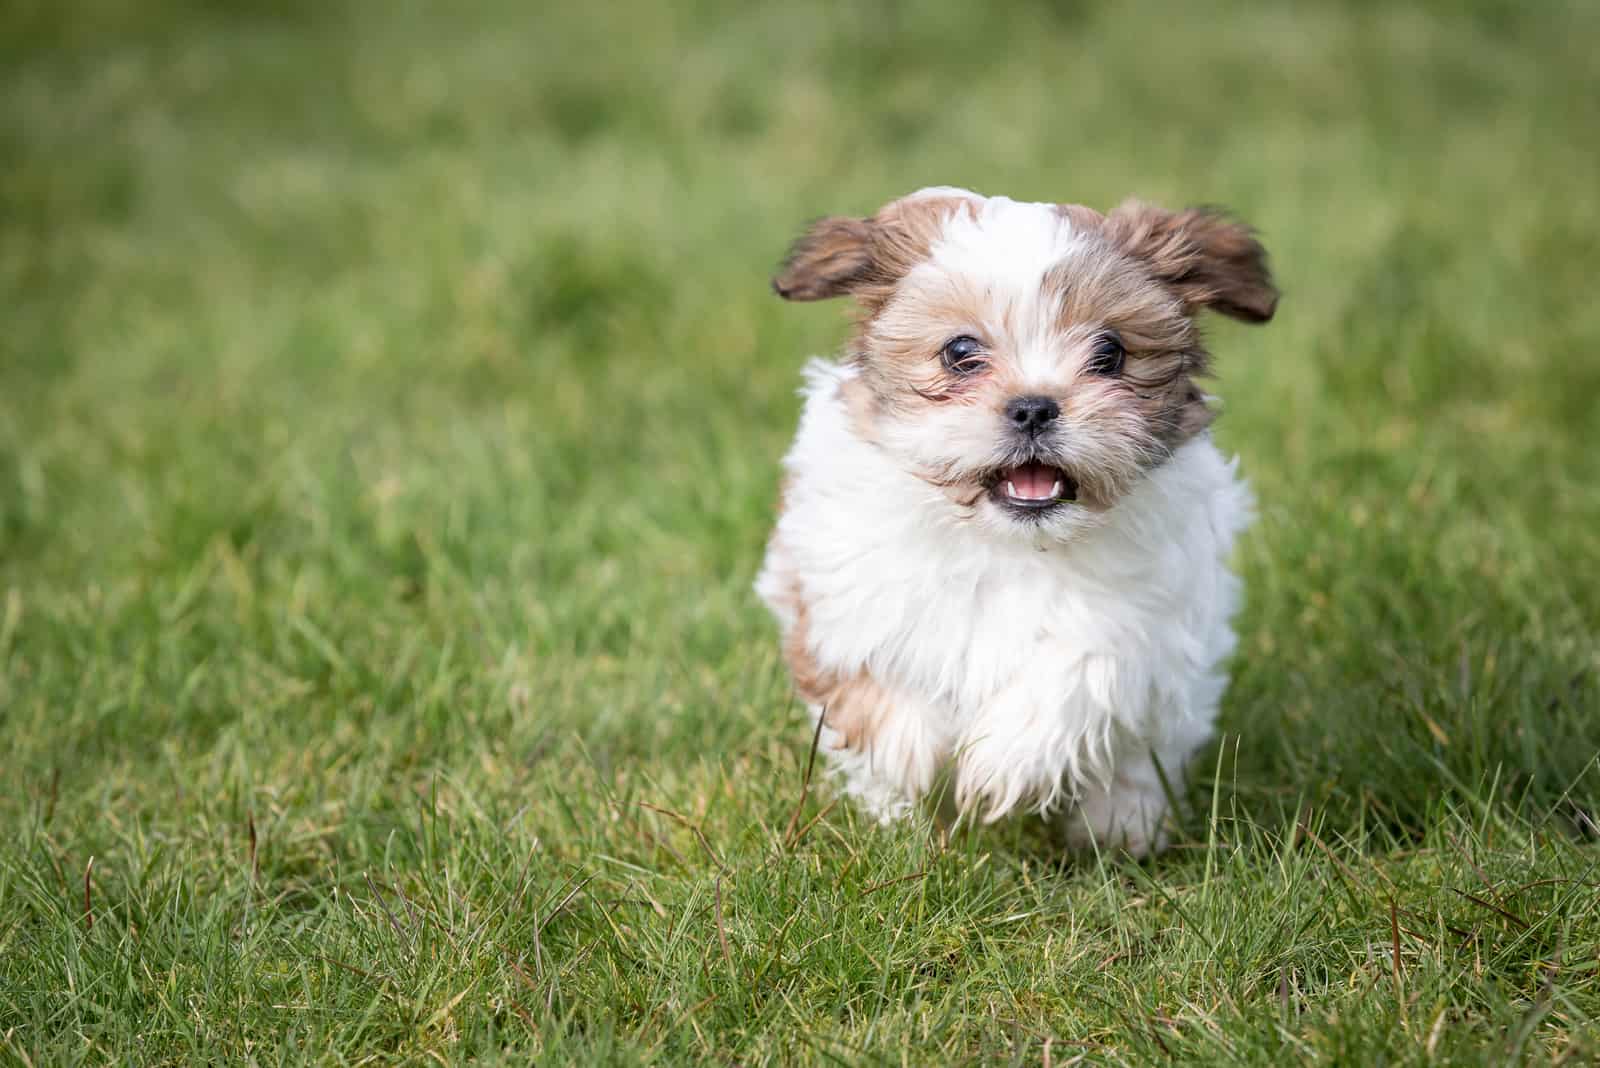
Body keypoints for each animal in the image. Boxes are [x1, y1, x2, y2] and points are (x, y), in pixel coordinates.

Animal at [755, 187, 1280, 856]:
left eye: (1110, 352)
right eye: (960, 352)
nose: (1033, 407)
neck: (1008, 543)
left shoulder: (1154, 611)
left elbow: (1085, 663)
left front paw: (1004, 760)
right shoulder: (839, 584)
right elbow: (876, 678)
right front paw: (908, 757)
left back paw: (1123, 831)